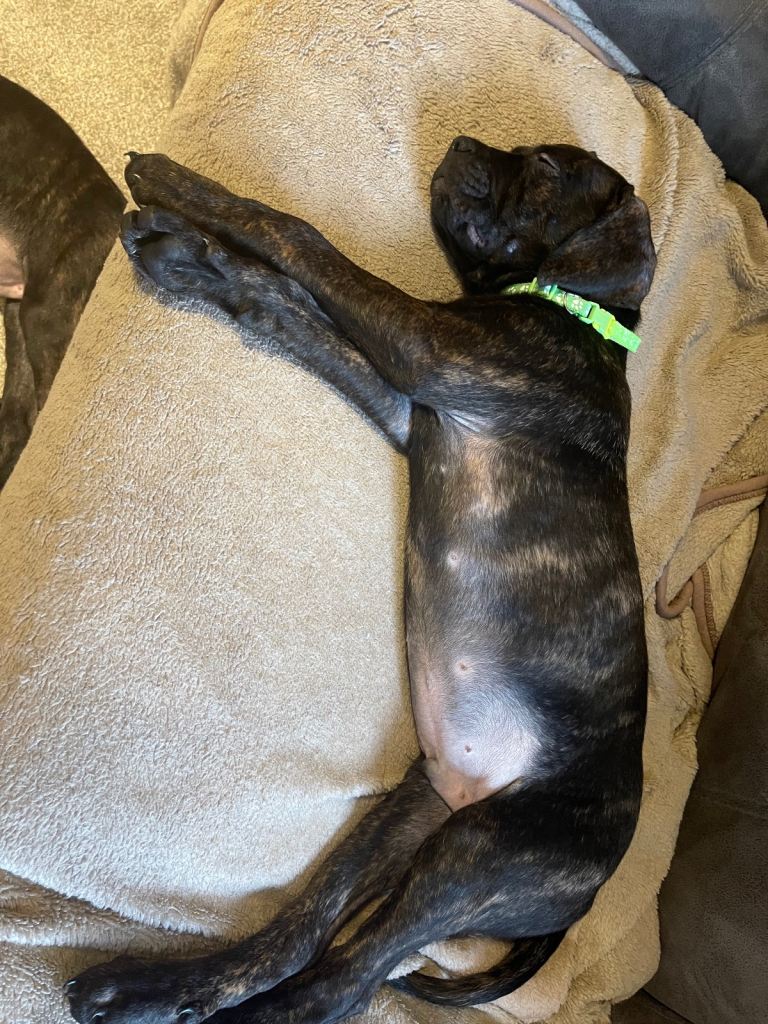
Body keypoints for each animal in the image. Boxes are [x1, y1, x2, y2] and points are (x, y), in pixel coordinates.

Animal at [66, 138, 655, 1024]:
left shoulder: (429, 348)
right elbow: (290, 305)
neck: (579, 313)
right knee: (298, 941)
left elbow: (300, 236)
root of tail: (587, 895)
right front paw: (194, 260)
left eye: (549, 171)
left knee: (341, 982)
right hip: (412, 817)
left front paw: (182, 192)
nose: (460, 145)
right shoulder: (408, 406)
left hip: (481, 853)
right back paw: (146, 988)